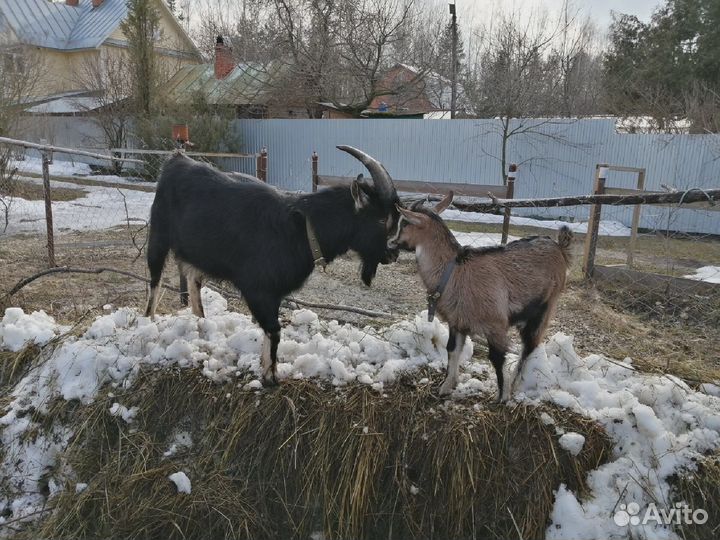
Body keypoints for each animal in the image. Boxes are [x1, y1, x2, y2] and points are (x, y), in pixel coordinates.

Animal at [145, 147, 400, 386]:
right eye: (381, 219)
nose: (393, 253)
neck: (303, 228)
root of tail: (177, 159)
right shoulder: (258, 290)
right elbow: (275, 329)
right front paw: (270, 377)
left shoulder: (274, 294)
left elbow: (271, 329)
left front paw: (266, 366)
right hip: (158, 236)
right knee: (155, 281)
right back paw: (149, 323)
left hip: (197, 253)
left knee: (193, 279)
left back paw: (201, 323)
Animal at [388, 192, 572, 401]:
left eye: (404, 223)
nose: (390, 242)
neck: (454, 272)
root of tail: (559, 247)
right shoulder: (457, 322)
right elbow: (452, 350)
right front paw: (446, 386)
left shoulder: (496, 325)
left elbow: (497, 358)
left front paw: (502, 397)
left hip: (545, 307)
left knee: (529, 345)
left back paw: (514, 383)